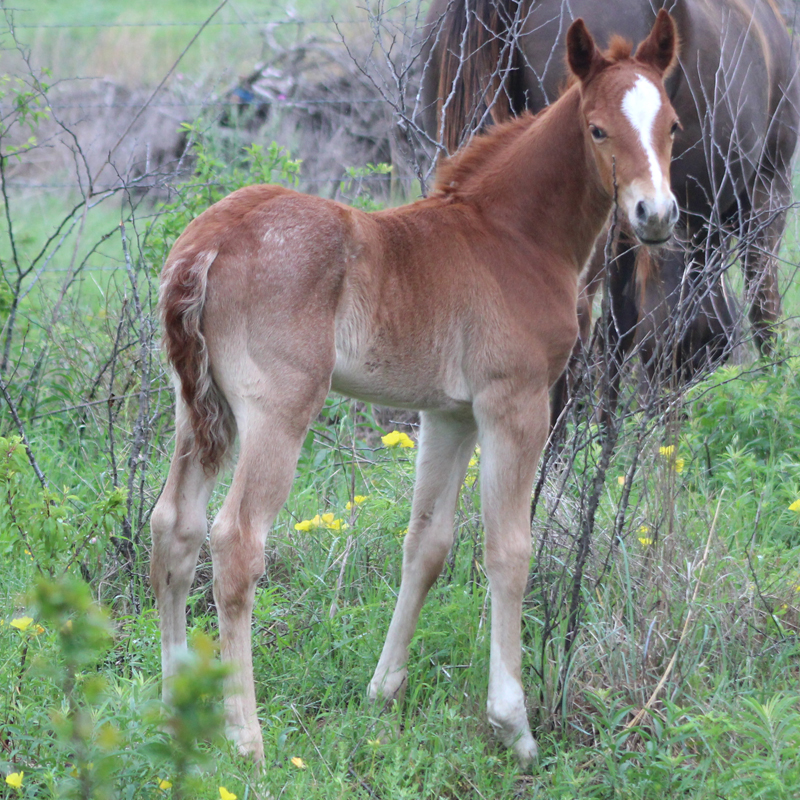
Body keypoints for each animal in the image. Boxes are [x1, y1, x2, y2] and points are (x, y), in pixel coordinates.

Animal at [151, 12, 680, 766]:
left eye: (672, 125)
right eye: (599, 128)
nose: (654, 214)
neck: (512, 236)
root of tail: (209, 242)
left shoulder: (448, 415)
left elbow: (426, 543)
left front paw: (382, 691)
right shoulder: (513, 403)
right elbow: (509, 550)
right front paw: (513, 725)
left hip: (198, 409)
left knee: (175, 526)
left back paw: (176, 714)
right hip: (278, 412)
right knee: (235, 541)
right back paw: (246, 739)